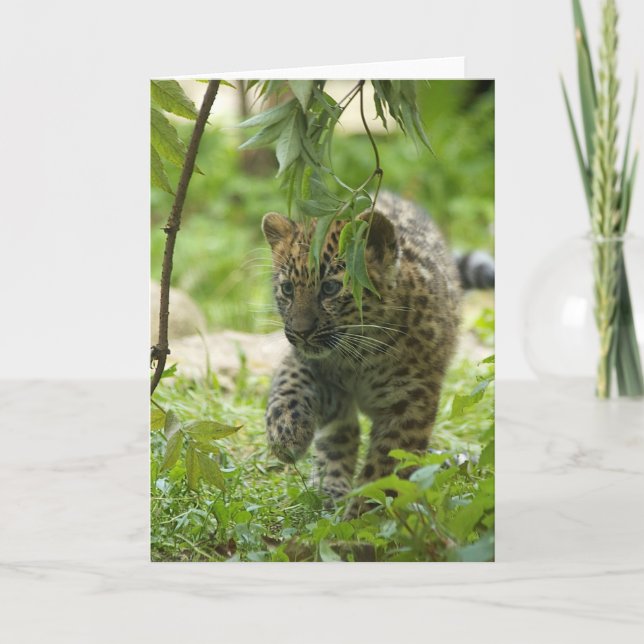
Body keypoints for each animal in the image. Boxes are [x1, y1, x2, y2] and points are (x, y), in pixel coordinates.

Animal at [261, 192, 477, 513]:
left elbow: (385, 466)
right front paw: (286, 433)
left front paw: (362, 513)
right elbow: (290, 383)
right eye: (287, 289)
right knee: (343, 434)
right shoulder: (310, 365)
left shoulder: (410, 403)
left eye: (330, 288)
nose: (300, 332)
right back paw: (330, 488)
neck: (357, 356)